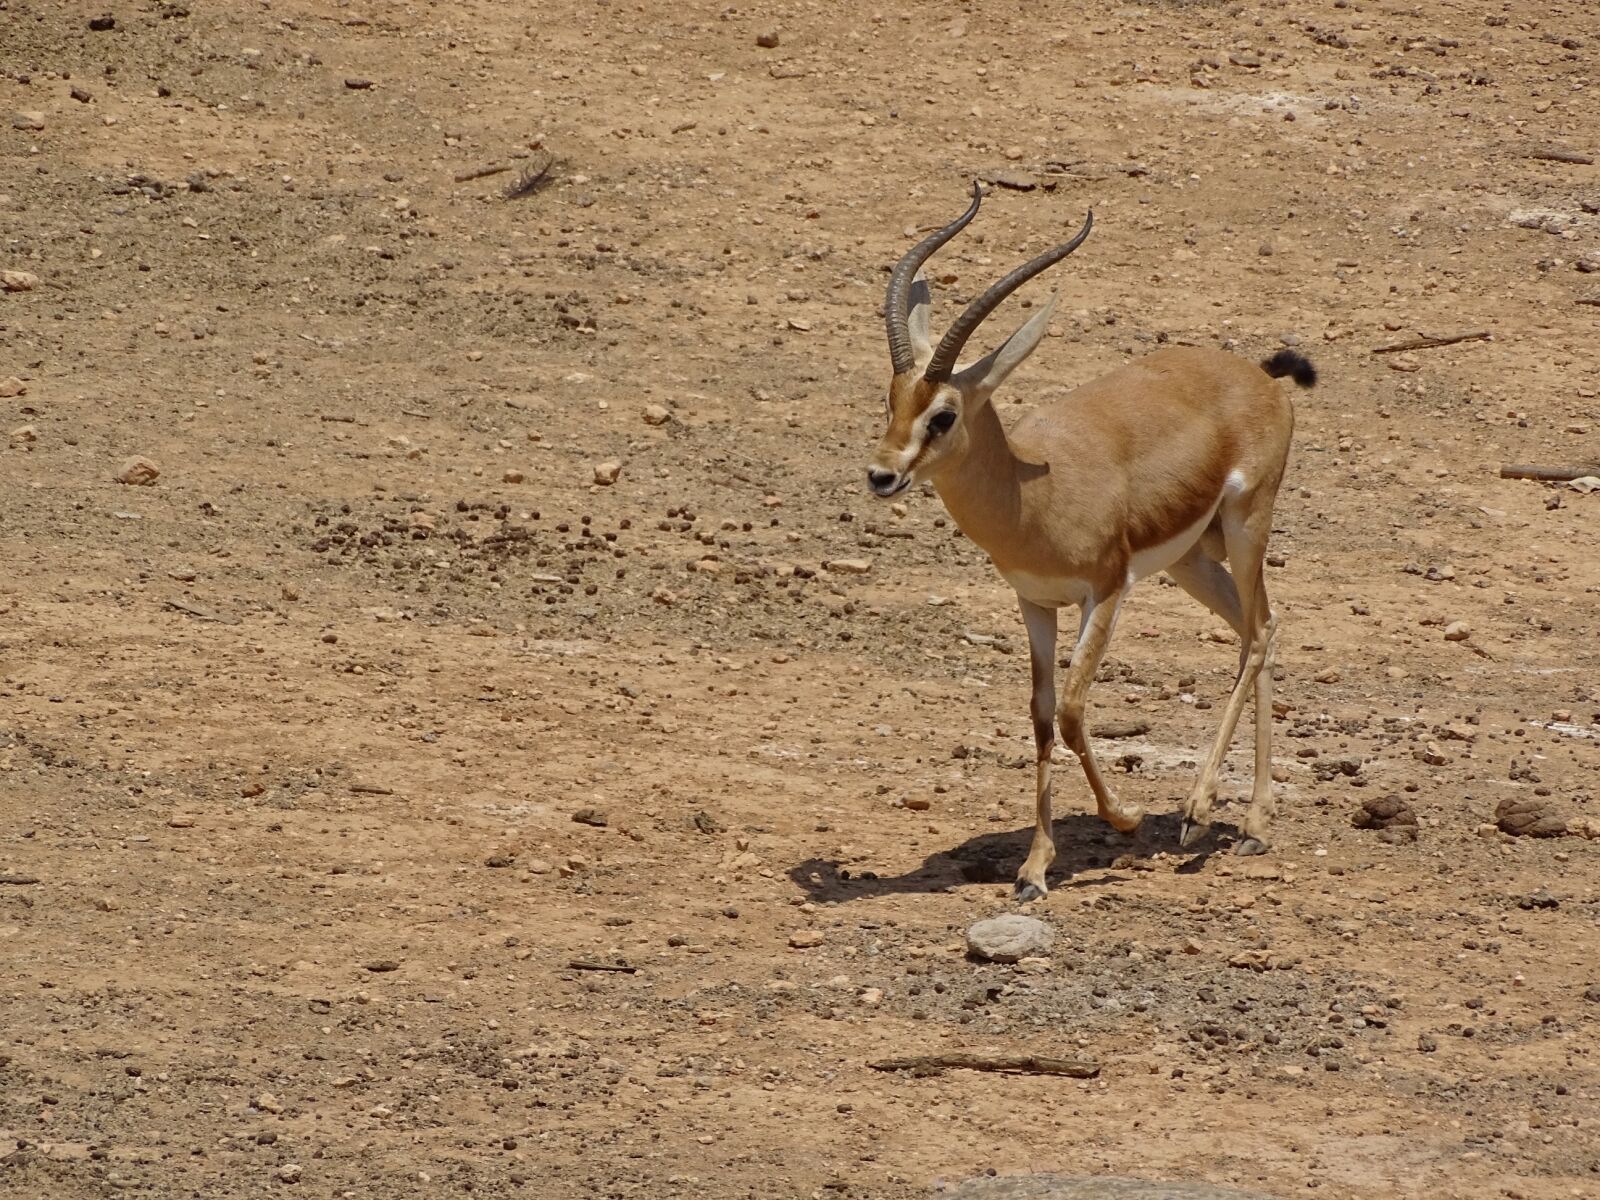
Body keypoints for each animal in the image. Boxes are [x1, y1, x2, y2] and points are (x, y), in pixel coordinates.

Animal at [867, 183, 1315, 901]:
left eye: (943, 416)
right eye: (892, 401)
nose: (881, 475)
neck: (1034, 496)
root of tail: (1259, 376)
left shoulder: (1104, 593)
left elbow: (1076, 710)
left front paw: (1125, 818)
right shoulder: (1034, 602)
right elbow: (1043, 713)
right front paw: (1033, 868)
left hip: (1248, 526)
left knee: (1260, 634)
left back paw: (1209, 816)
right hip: (1193, 561)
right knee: (1258, 631)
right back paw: (1245, 822)